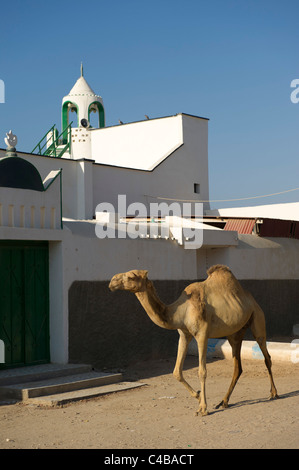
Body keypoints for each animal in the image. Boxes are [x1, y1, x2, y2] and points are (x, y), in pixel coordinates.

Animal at [109, 264, 278, 414]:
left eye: (131, 276)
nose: (112, 281)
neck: (181, 312)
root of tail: (252, 299)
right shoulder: (184, 335)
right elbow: (176, 371)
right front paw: (197, 396)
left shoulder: (202, 334)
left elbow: (202, 371)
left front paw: (202, 408)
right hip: (235, 333)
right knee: (238, 367)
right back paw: (224, 401)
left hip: (257, 318)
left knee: (266, 356)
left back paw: (273, 393)